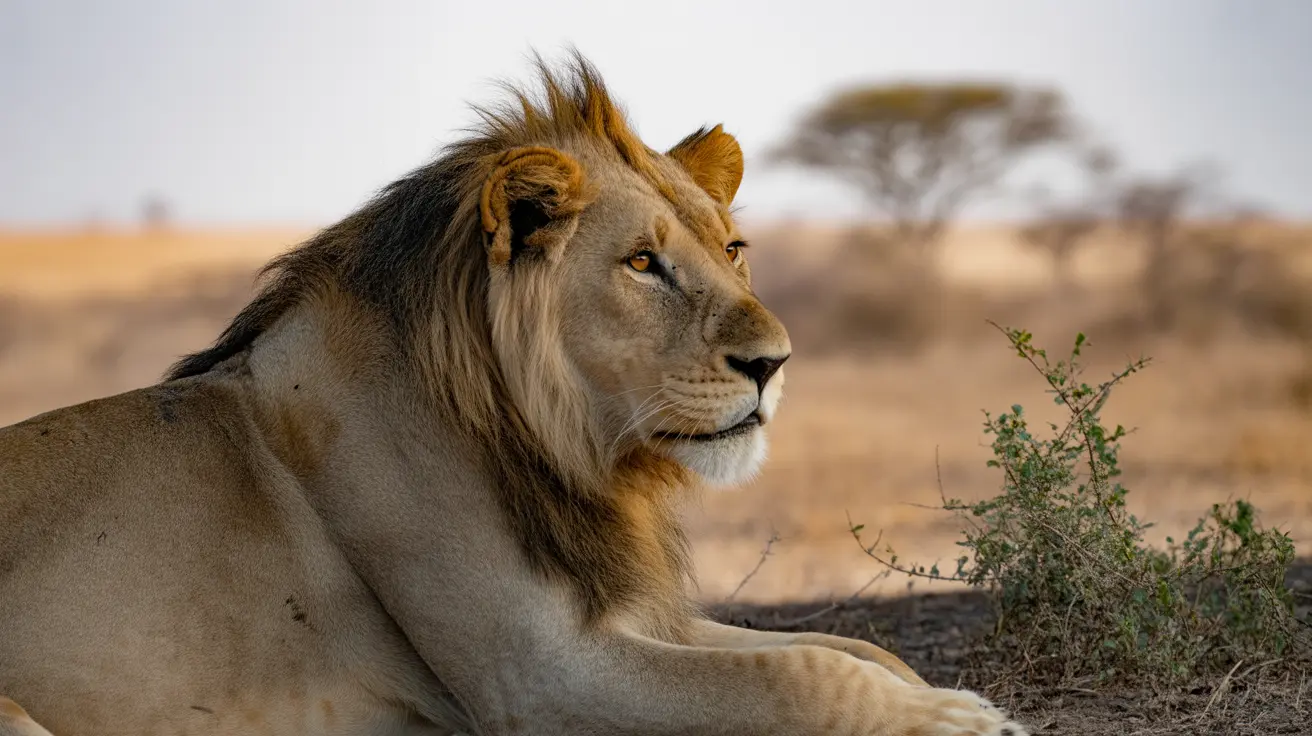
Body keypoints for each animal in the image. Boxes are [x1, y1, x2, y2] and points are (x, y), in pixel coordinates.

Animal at [0, 53, 1028, 736]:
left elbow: (856, 651)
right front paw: (958, 722)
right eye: (643, 263)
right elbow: (801, 677)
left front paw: (944, 695)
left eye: (732, 250)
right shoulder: (538, 673)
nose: (775, 362)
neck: (565, 444)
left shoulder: (620, 614)